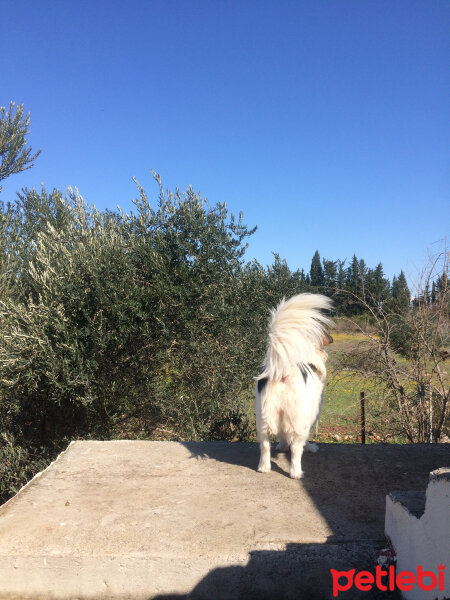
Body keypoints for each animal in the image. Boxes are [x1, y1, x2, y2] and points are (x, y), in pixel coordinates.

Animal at [255, 294, 332, 478]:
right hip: (299, 419)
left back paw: (264, 467)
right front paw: (310, 447)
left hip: (263, 418)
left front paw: (281, 446)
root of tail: (284, 370)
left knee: (265, 445)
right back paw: (296, 473)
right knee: (297, 448)